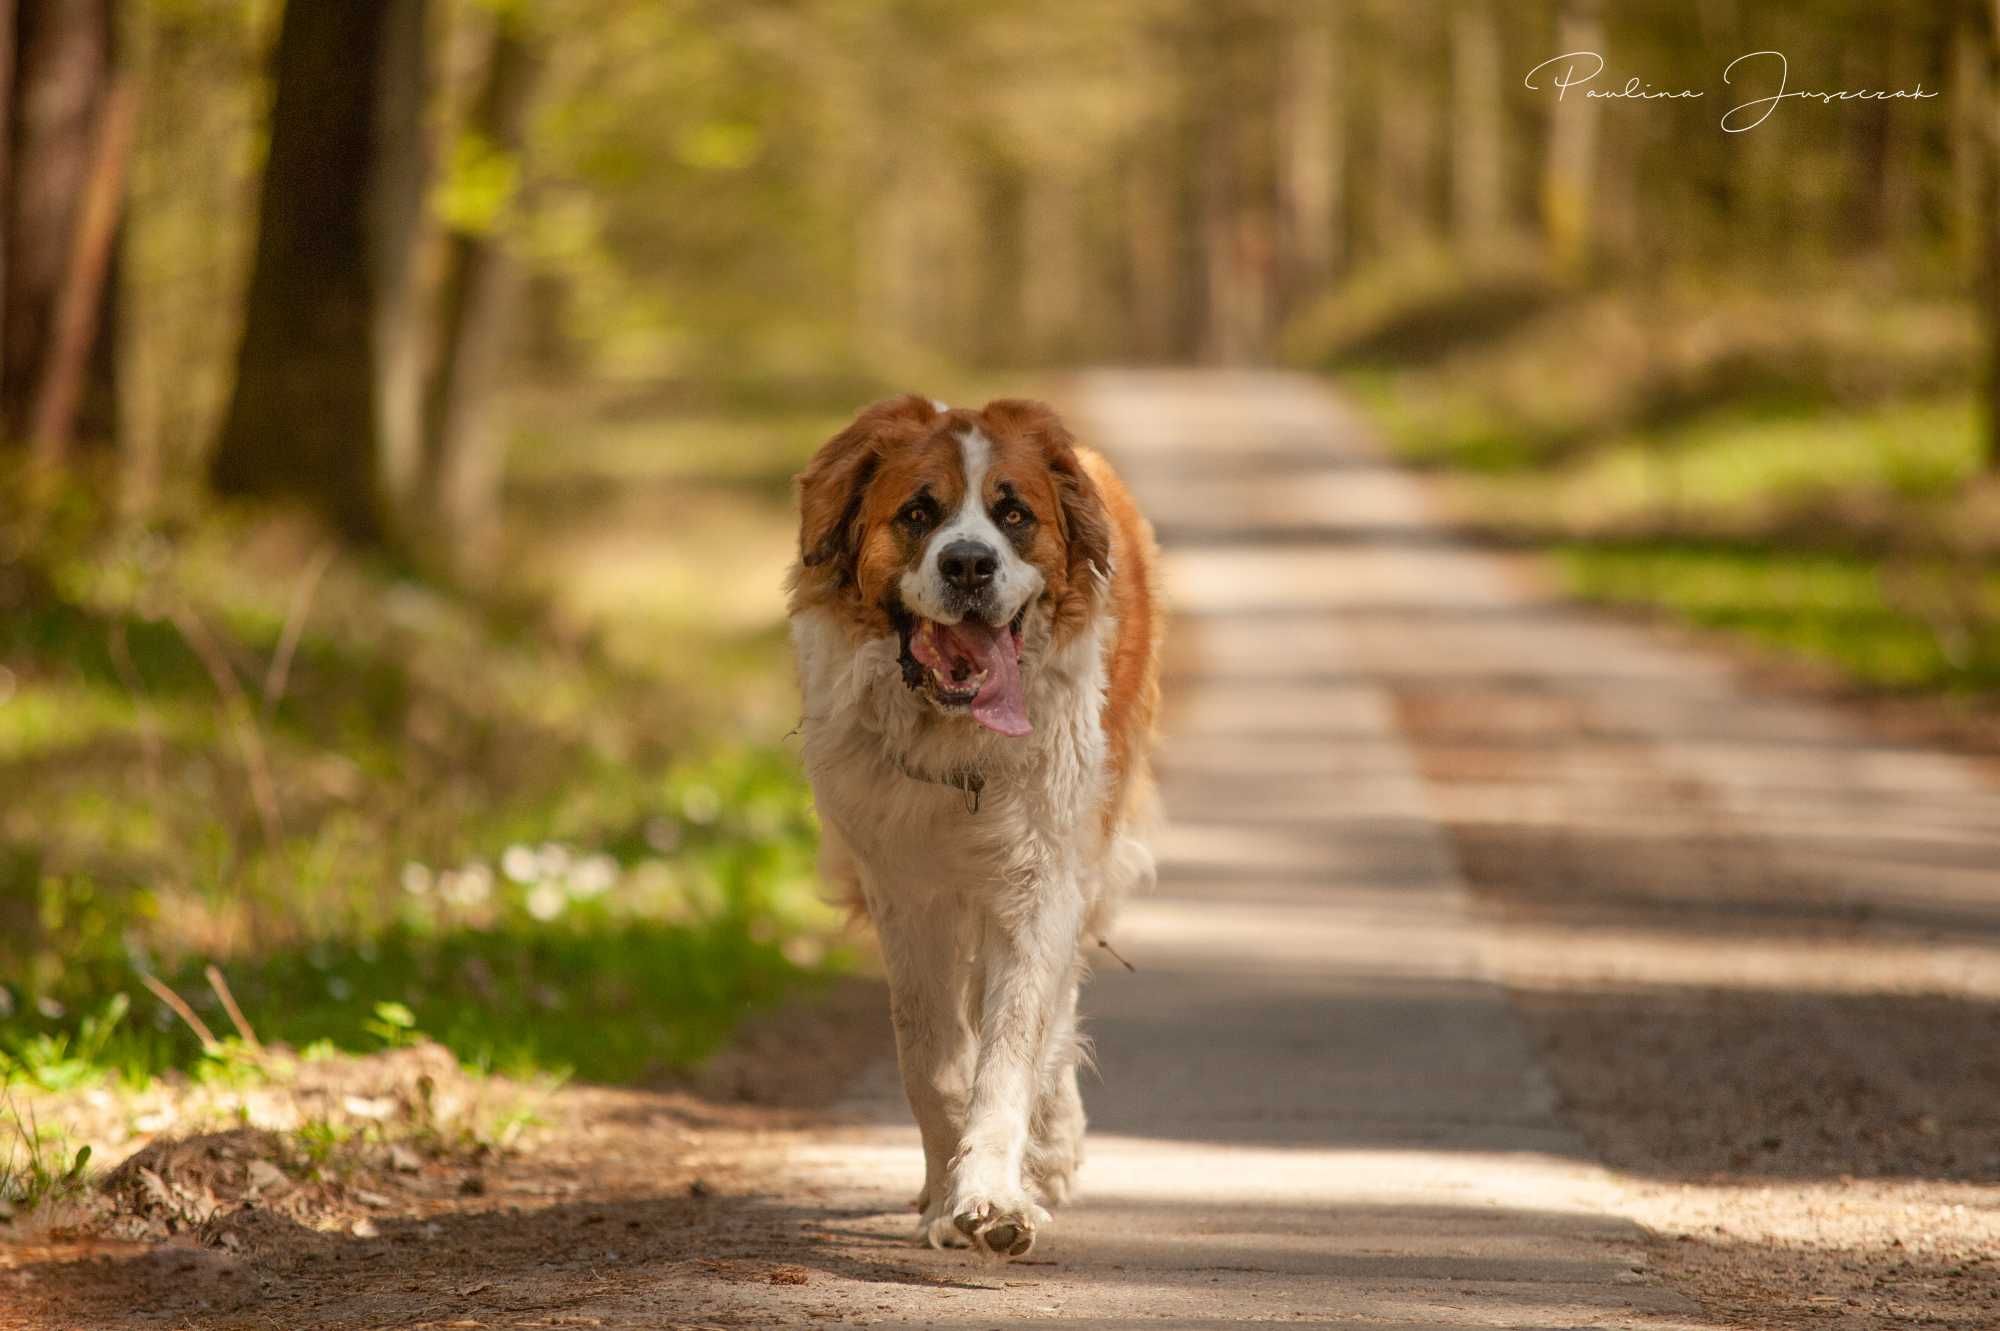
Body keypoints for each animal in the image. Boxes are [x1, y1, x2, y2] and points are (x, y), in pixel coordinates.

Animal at [780, 391, 1160, 1255]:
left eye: (1013, 515)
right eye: (919, 514)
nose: (968, 565)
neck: (953, 737)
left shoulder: (1041, 880)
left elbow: (1013, 1045)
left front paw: (992, 1195)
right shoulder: (903, 890)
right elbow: (931, 1056)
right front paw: (945, 1195)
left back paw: (1049, 1150)